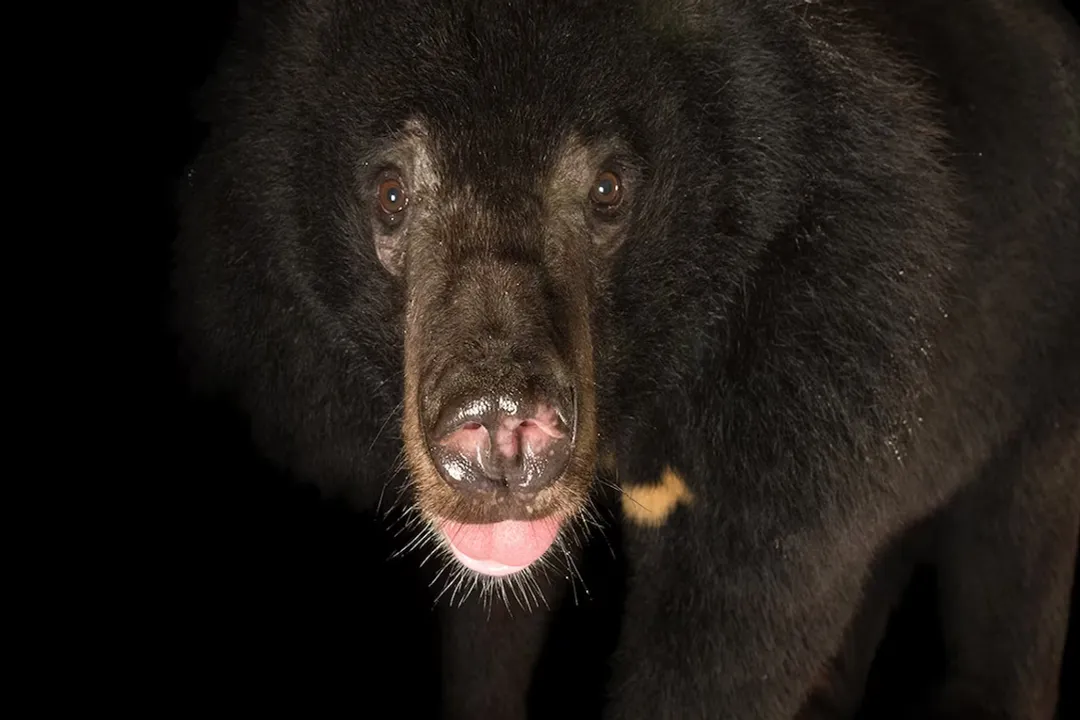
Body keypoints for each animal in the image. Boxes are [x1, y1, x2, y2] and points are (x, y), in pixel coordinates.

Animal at [173, 0, 1080, 718]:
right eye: (391, 195)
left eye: (609, 189)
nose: (501, 433)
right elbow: (490, 629)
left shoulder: (824, 366)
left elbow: (743, 624)